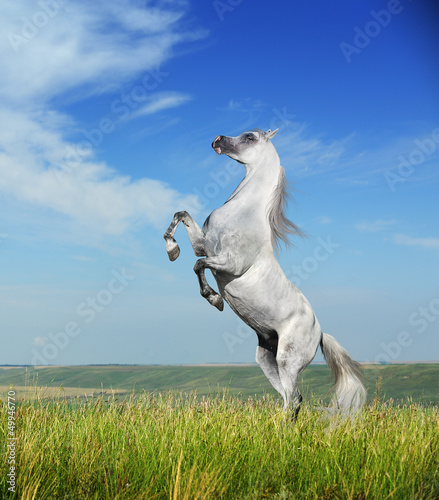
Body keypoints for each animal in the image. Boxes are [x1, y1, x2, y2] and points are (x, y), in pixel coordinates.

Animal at [163, 128, 366, 418]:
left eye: (250, 137)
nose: (217, 139)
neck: (242, 213)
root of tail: (319, 333)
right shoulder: (204, 246)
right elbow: (181, 215)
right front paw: (172, 250)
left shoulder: (229, 263)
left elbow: (198, 265)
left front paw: (215, 299)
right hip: (267, 359)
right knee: (293, 399)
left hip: (288, 361)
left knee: (292, 399)